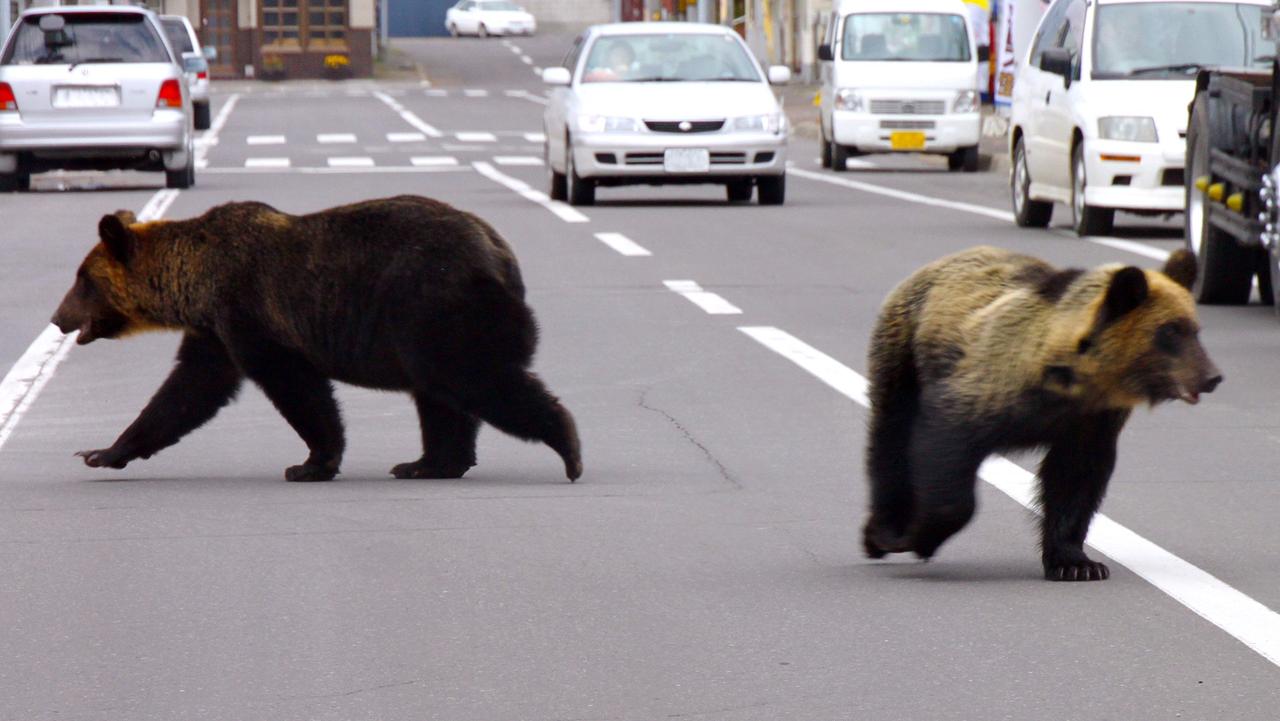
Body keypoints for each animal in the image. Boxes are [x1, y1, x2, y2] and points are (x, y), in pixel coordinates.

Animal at [52, 194, 583, 481]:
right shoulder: (215, 332)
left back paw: (568, 447)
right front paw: (101, 452)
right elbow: (186, 391)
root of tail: (500, 253)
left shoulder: (249, 312)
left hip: (435, 306)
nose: (58, 318)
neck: (195, 281)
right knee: (441, 395)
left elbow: (296, 386)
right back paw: (427, 462)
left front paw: (311, 463)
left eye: (82, 280)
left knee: (476, 379)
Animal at [865, 247, 1223, 581]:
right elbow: (945, 447)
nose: (1212, 377)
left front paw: (1077, 564)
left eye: (1195, 329)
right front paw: (919, 537)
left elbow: (1075, 480)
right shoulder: (987, 388)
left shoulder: (1091, 421)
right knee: (890, 436)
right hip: (905, 353)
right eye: (1170, 330)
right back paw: (882, 531)